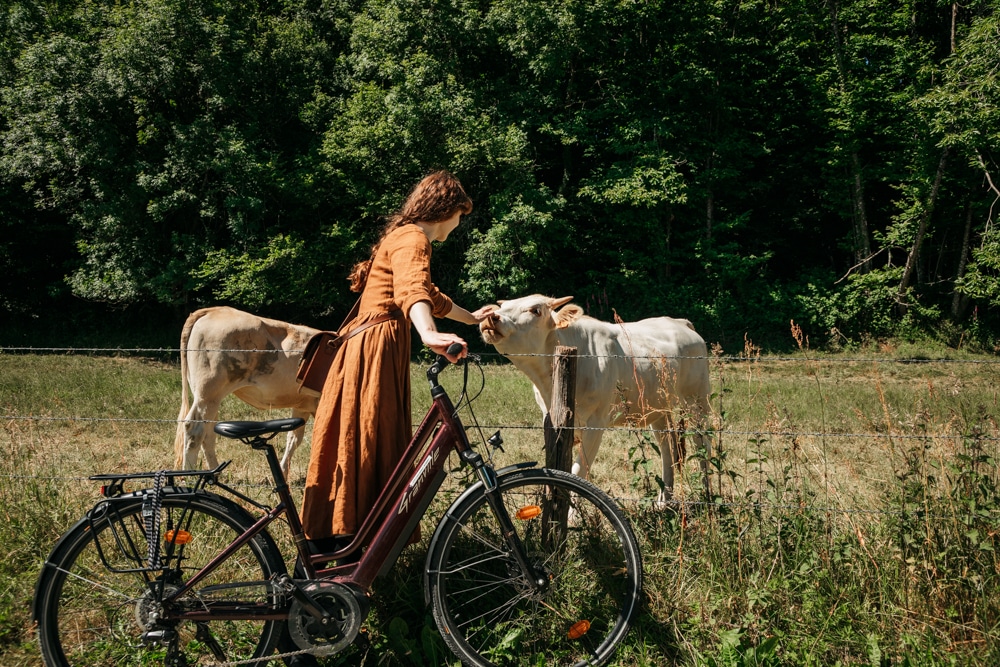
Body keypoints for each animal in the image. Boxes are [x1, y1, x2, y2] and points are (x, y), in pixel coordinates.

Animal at [174, 308, 322, 480]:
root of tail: (216, 309)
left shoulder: (302, 405)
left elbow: (293, 438)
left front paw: (284, 472)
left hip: (211, 399)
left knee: (208, 433)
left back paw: (215, 472)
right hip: (207, 394)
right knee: (194, 429)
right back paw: (190, 476)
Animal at [482, 294, 712, 504]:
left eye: (535, 310)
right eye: (504, 306)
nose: (490, 317)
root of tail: (679, 322)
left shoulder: (595, 424)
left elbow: (578, 472)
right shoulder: (550, 419)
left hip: (697, 401)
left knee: (703, 443)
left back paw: (707, 496)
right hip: (658, 408)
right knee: (667, 447)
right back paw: (664, 500)